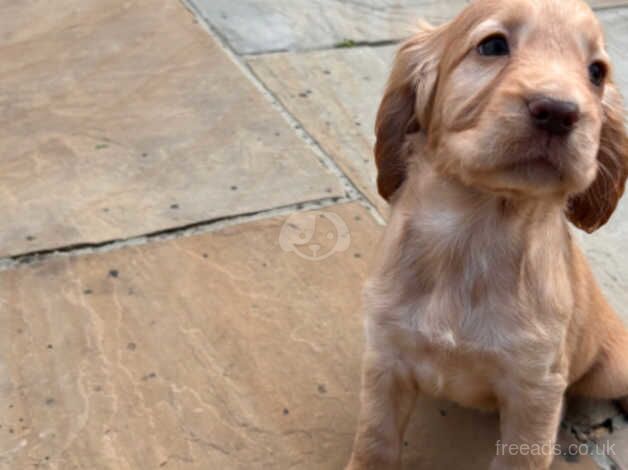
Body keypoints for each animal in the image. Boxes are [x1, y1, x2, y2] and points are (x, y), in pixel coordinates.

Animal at [348, 0, 628, 470]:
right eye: (493, 45)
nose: (559, 111)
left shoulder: (534, 392)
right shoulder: (385, 357)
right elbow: (374, 444)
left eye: (596, 72)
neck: (475, 231)